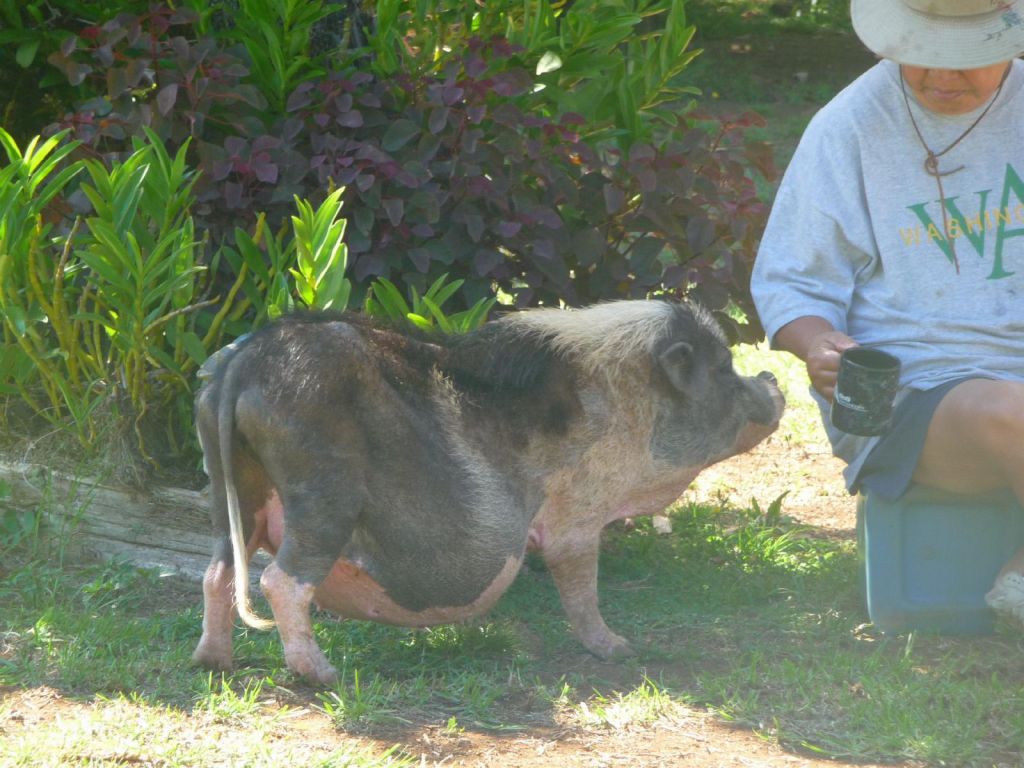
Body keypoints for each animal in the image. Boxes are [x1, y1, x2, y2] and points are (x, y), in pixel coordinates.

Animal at [192, 301, 782, 684]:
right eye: (724, 368)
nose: (774, 379)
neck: (629, 406)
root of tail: (249, 357)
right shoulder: (578, 512)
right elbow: (581, 582)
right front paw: (618, 649)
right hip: (322, 489)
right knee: (279, 579)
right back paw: (323, 675)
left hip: (228, 484)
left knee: (217, 571)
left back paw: (213, 663)